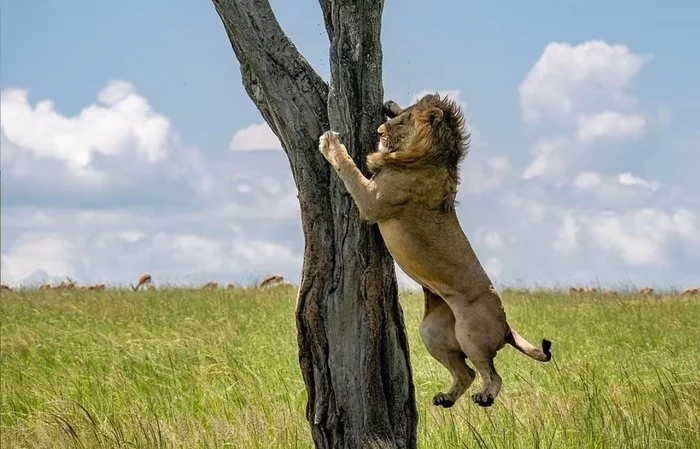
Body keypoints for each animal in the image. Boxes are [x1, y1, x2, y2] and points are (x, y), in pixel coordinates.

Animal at [318, 93, 552, 408]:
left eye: (402, 123)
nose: (379, 130)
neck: (431, 153)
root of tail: (506, 324)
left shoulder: (372, 202)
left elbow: (349, 169)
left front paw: (330, 142)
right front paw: (390, 102)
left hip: (471, 333)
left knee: (491, 373)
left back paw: (485, 397)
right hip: (431, 331)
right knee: (465, 372)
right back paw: (446, 399)